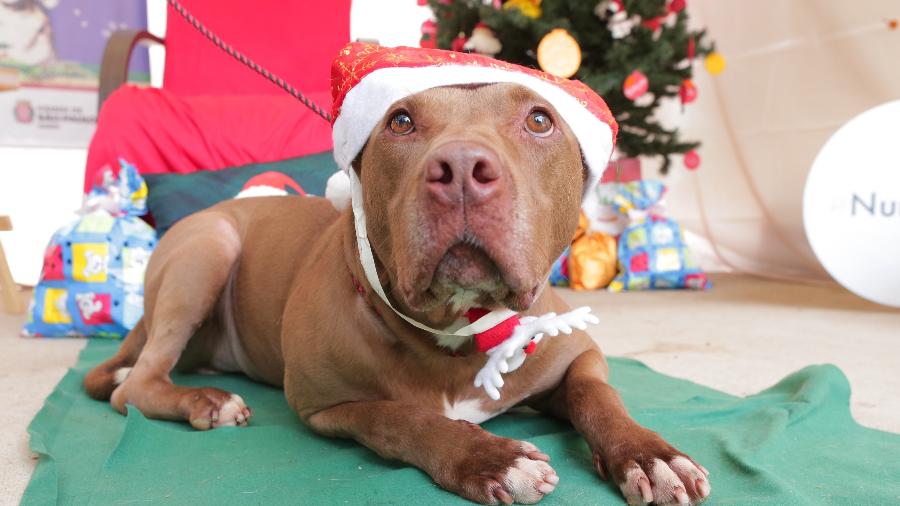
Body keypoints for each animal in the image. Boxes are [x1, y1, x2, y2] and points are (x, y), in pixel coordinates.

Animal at [88, 81, 712, 504]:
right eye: (402, 121)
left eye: (539, 119)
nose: (461, 166)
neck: (457, 329)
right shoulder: (323, 406)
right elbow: (400, 419)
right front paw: (488, 457)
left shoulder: (577, 354)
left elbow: (598, 396)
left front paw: (650, 455)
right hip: (209, 247)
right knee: (135, 386)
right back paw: (206, 401)